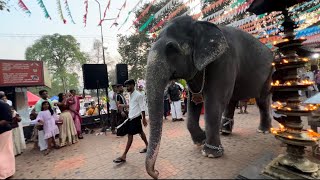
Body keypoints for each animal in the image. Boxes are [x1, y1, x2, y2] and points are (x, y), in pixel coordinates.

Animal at [145, 15, 272, 179]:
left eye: (171, 49)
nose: (156, 172)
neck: (199, 24)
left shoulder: (224, 60)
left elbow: (214, 100)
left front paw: (210, 153)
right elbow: (193, 102)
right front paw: (201, 140)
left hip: (269, 73)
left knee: (261, 100)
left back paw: (263, 130)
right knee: (232, 99)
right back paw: (225, 131)